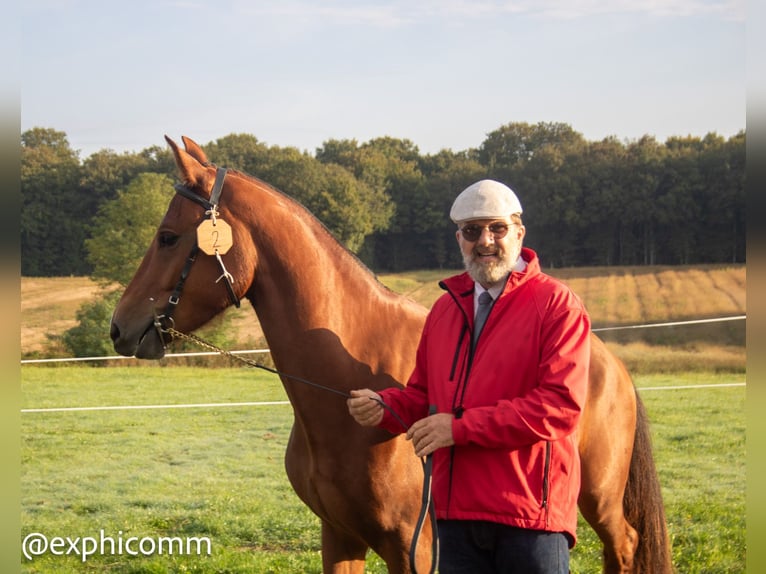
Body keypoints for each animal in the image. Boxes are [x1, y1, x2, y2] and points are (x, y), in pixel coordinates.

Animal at [111, 137, 676, 572]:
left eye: (167, 237)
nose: (119, 327)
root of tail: (610, 362)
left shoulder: (415, 550)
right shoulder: (339, 536)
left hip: (599, 498)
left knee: (625, 545)